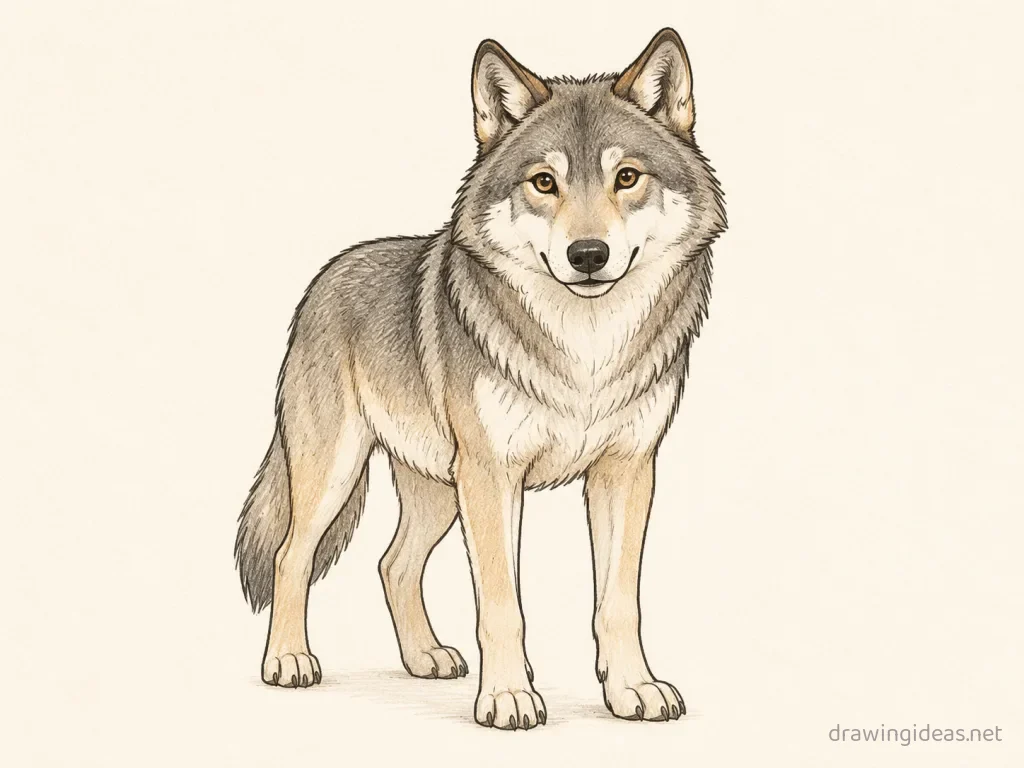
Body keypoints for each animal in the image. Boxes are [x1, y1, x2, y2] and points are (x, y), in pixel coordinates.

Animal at [235, 28, 726, 729]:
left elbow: (618, 603)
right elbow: (502, 605)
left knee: (392, 563)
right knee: (290, 555)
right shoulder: (493, 476)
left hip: (439, 486)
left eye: (627, 177)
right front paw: (509, 697)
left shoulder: (626, 471)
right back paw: (288, 662)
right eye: (544, 182)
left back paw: (425, 658)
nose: (588, 255)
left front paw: (632, 688)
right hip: (340, 471)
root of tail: (325, 276)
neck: (587, 347)